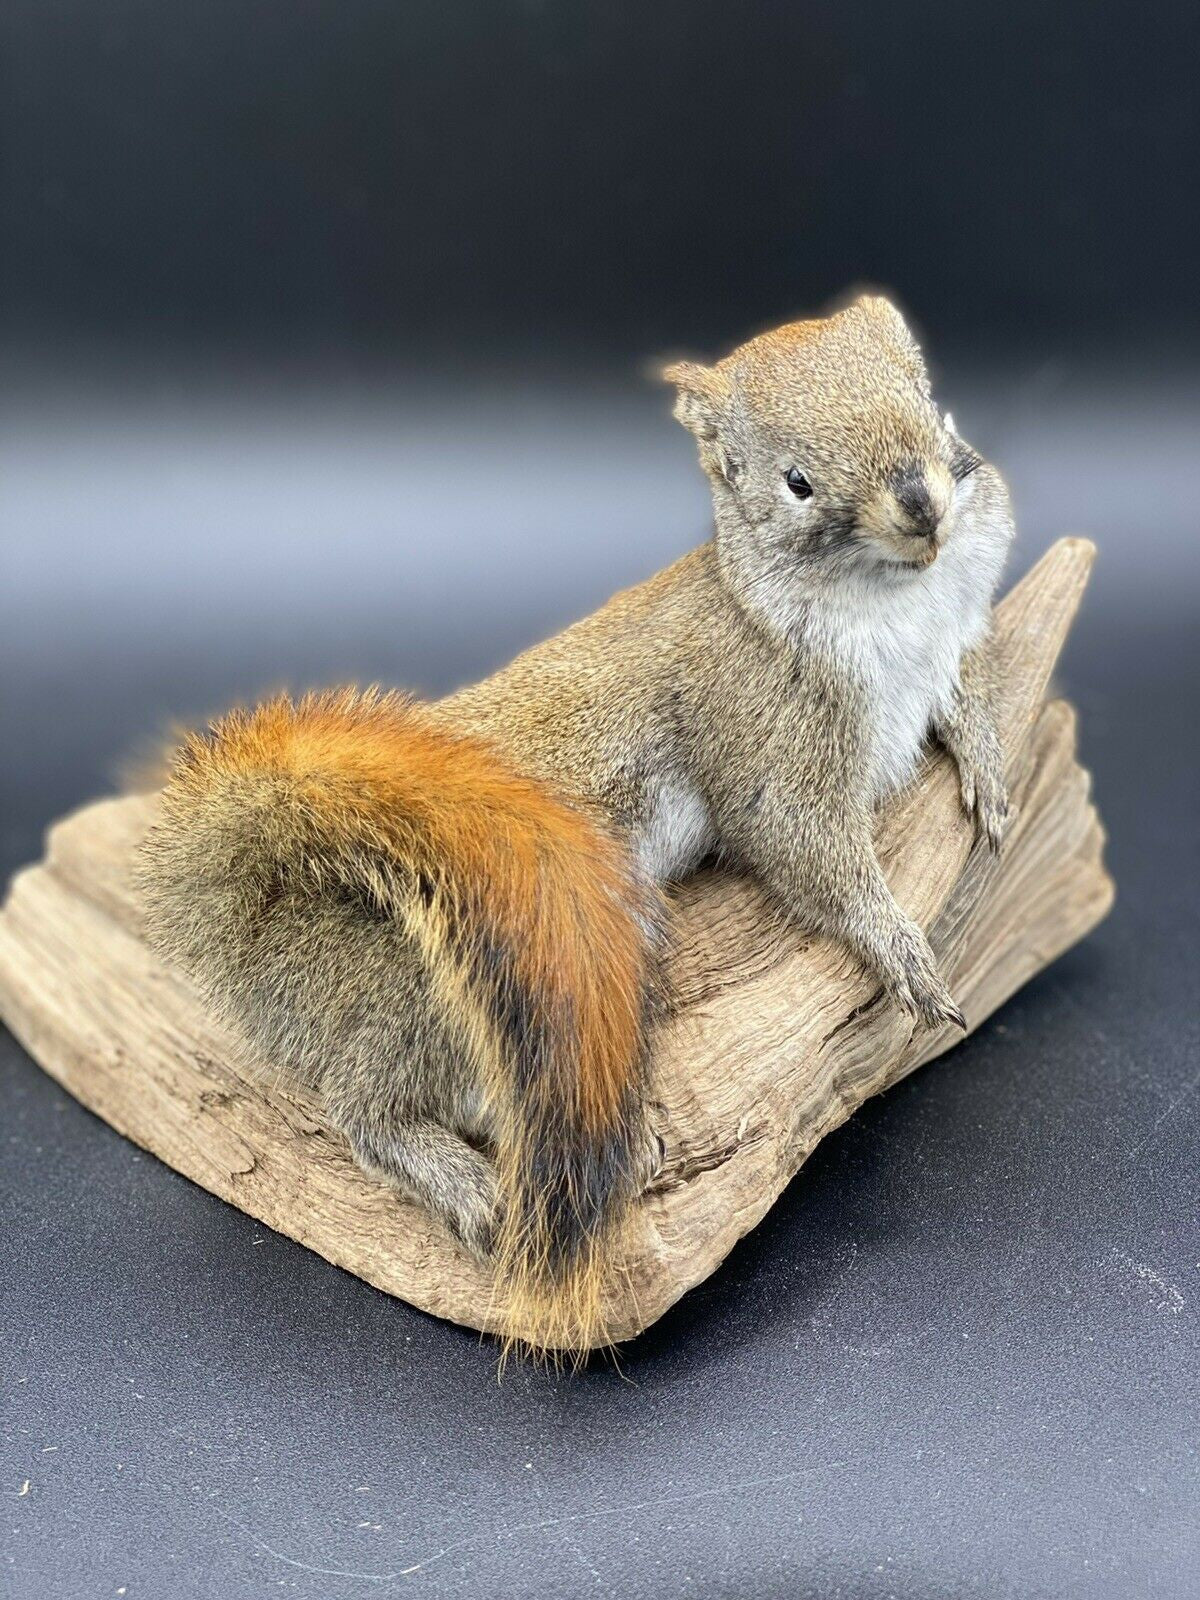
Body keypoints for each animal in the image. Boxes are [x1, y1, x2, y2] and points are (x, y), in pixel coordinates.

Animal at [138, 293, 1014, 1357]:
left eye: (926, 396)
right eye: (797, 482)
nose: (921, 504)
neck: (896, 603)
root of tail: (249, 935)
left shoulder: (936, 653)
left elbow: (958, 696)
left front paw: (985, 751)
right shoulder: (765, 744)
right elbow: (809, 849)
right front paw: (899, 947)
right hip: (440, 982)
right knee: (366, 1109)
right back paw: (468, 1176)